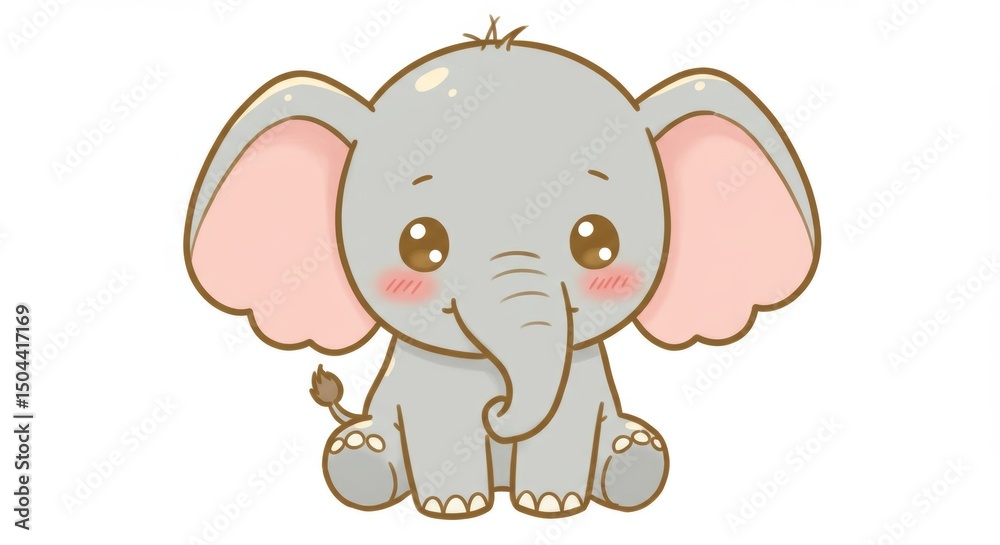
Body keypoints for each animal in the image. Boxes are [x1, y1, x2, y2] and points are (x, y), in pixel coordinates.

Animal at [183, 20, 820, 519]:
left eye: (598, 243)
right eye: (420, 244)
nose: (497, 411)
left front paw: (550, 506)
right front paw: (455, 510)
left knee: (635, 454)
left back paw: (630, 458)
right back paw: (360, 458)